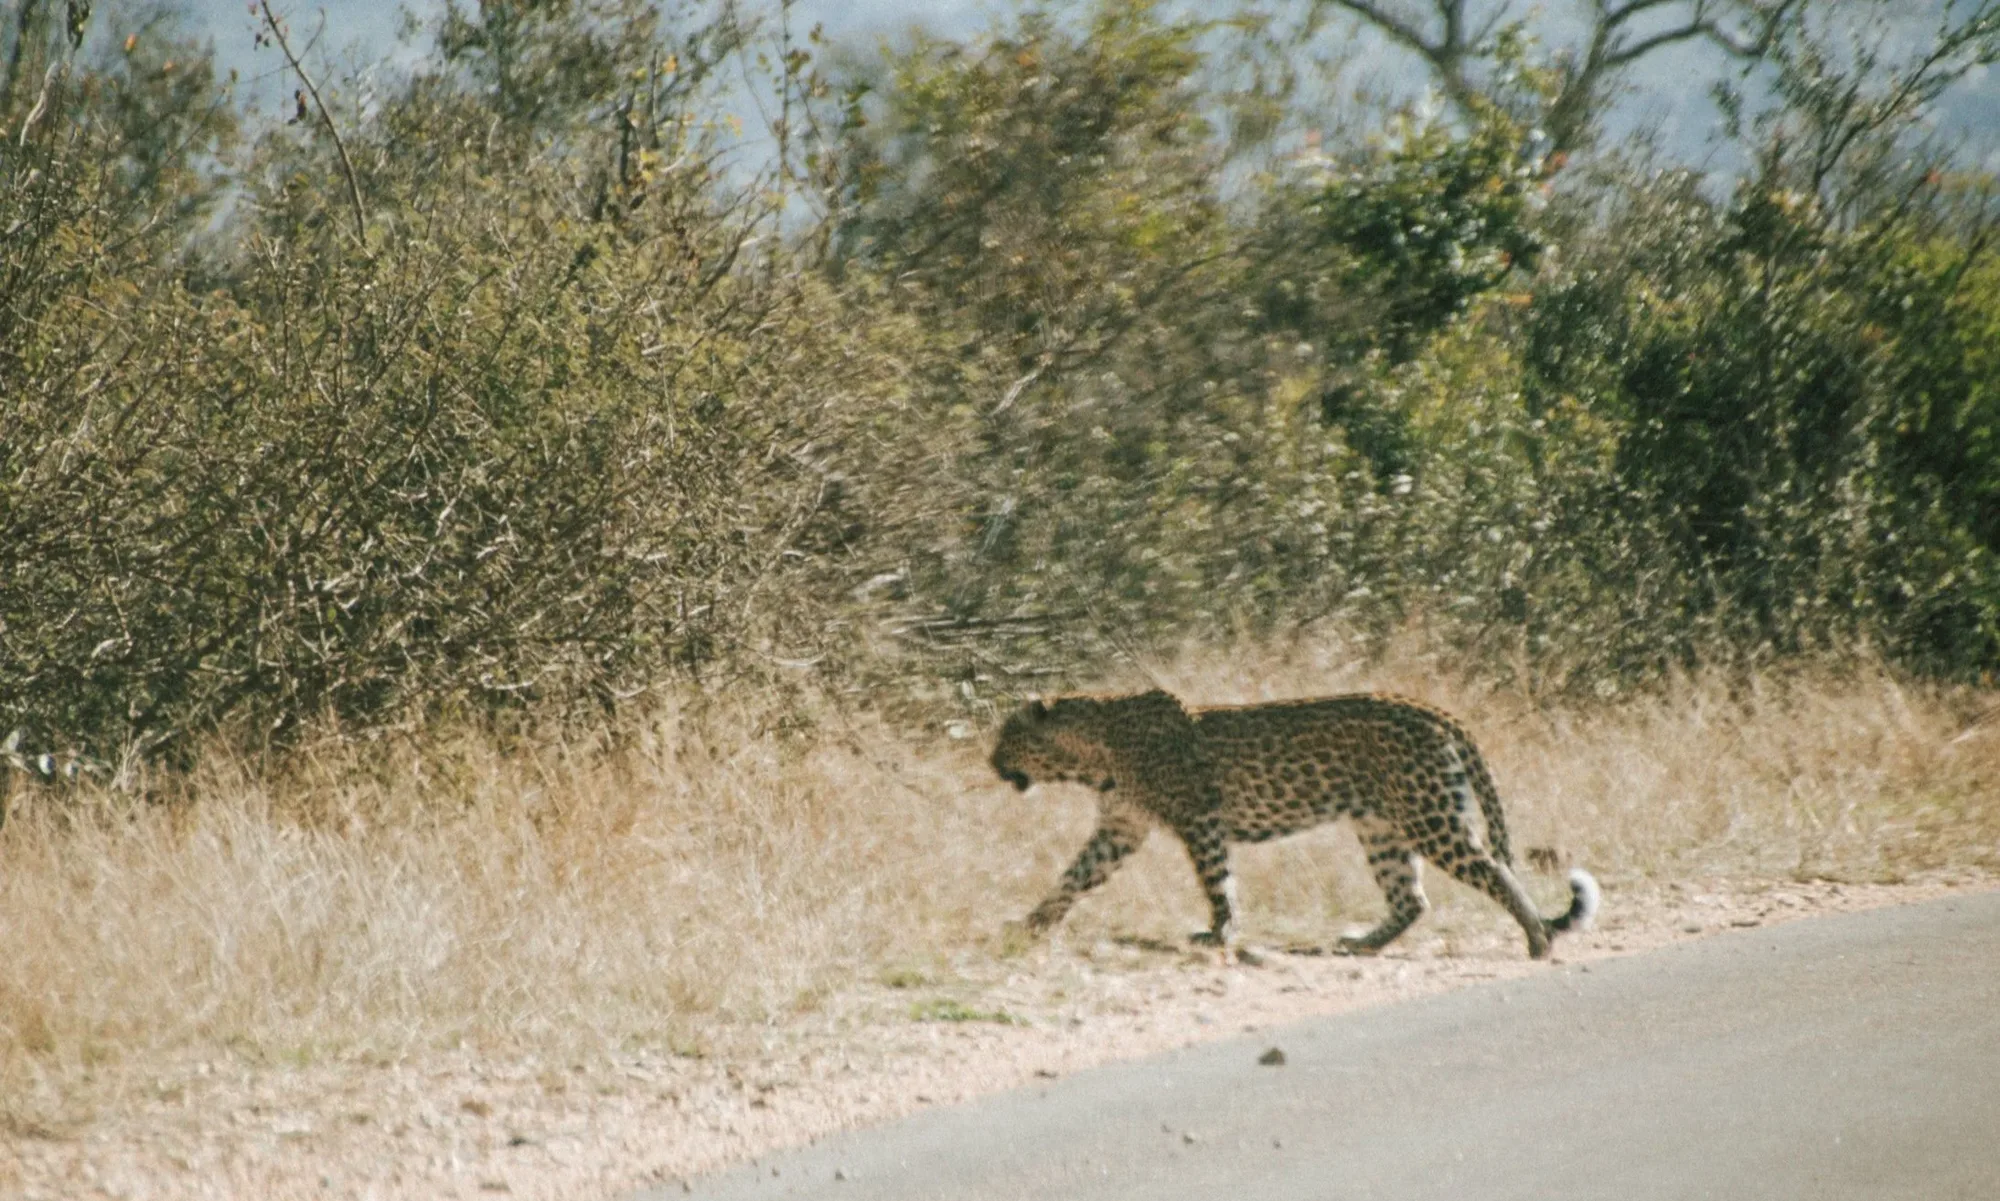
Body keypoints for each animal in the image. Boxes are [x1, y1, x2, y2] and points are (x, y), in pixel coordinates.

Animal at [991, 688, 1599, 960]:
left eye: (1007, 737)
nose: (990, 762)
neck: (1093, 754)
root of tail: (1429, 707)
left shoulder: (1200, 821)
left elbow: (1216, 882)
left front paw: (1219, 933)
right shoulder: (1121, 829)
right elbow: (1074, 877)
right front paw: (1032, 923)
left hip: (1429, 817)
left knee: (1494, 869)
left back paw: (1538, 939)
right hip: (1381, 826)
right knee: (1412, 897)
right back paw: (1361, 943)